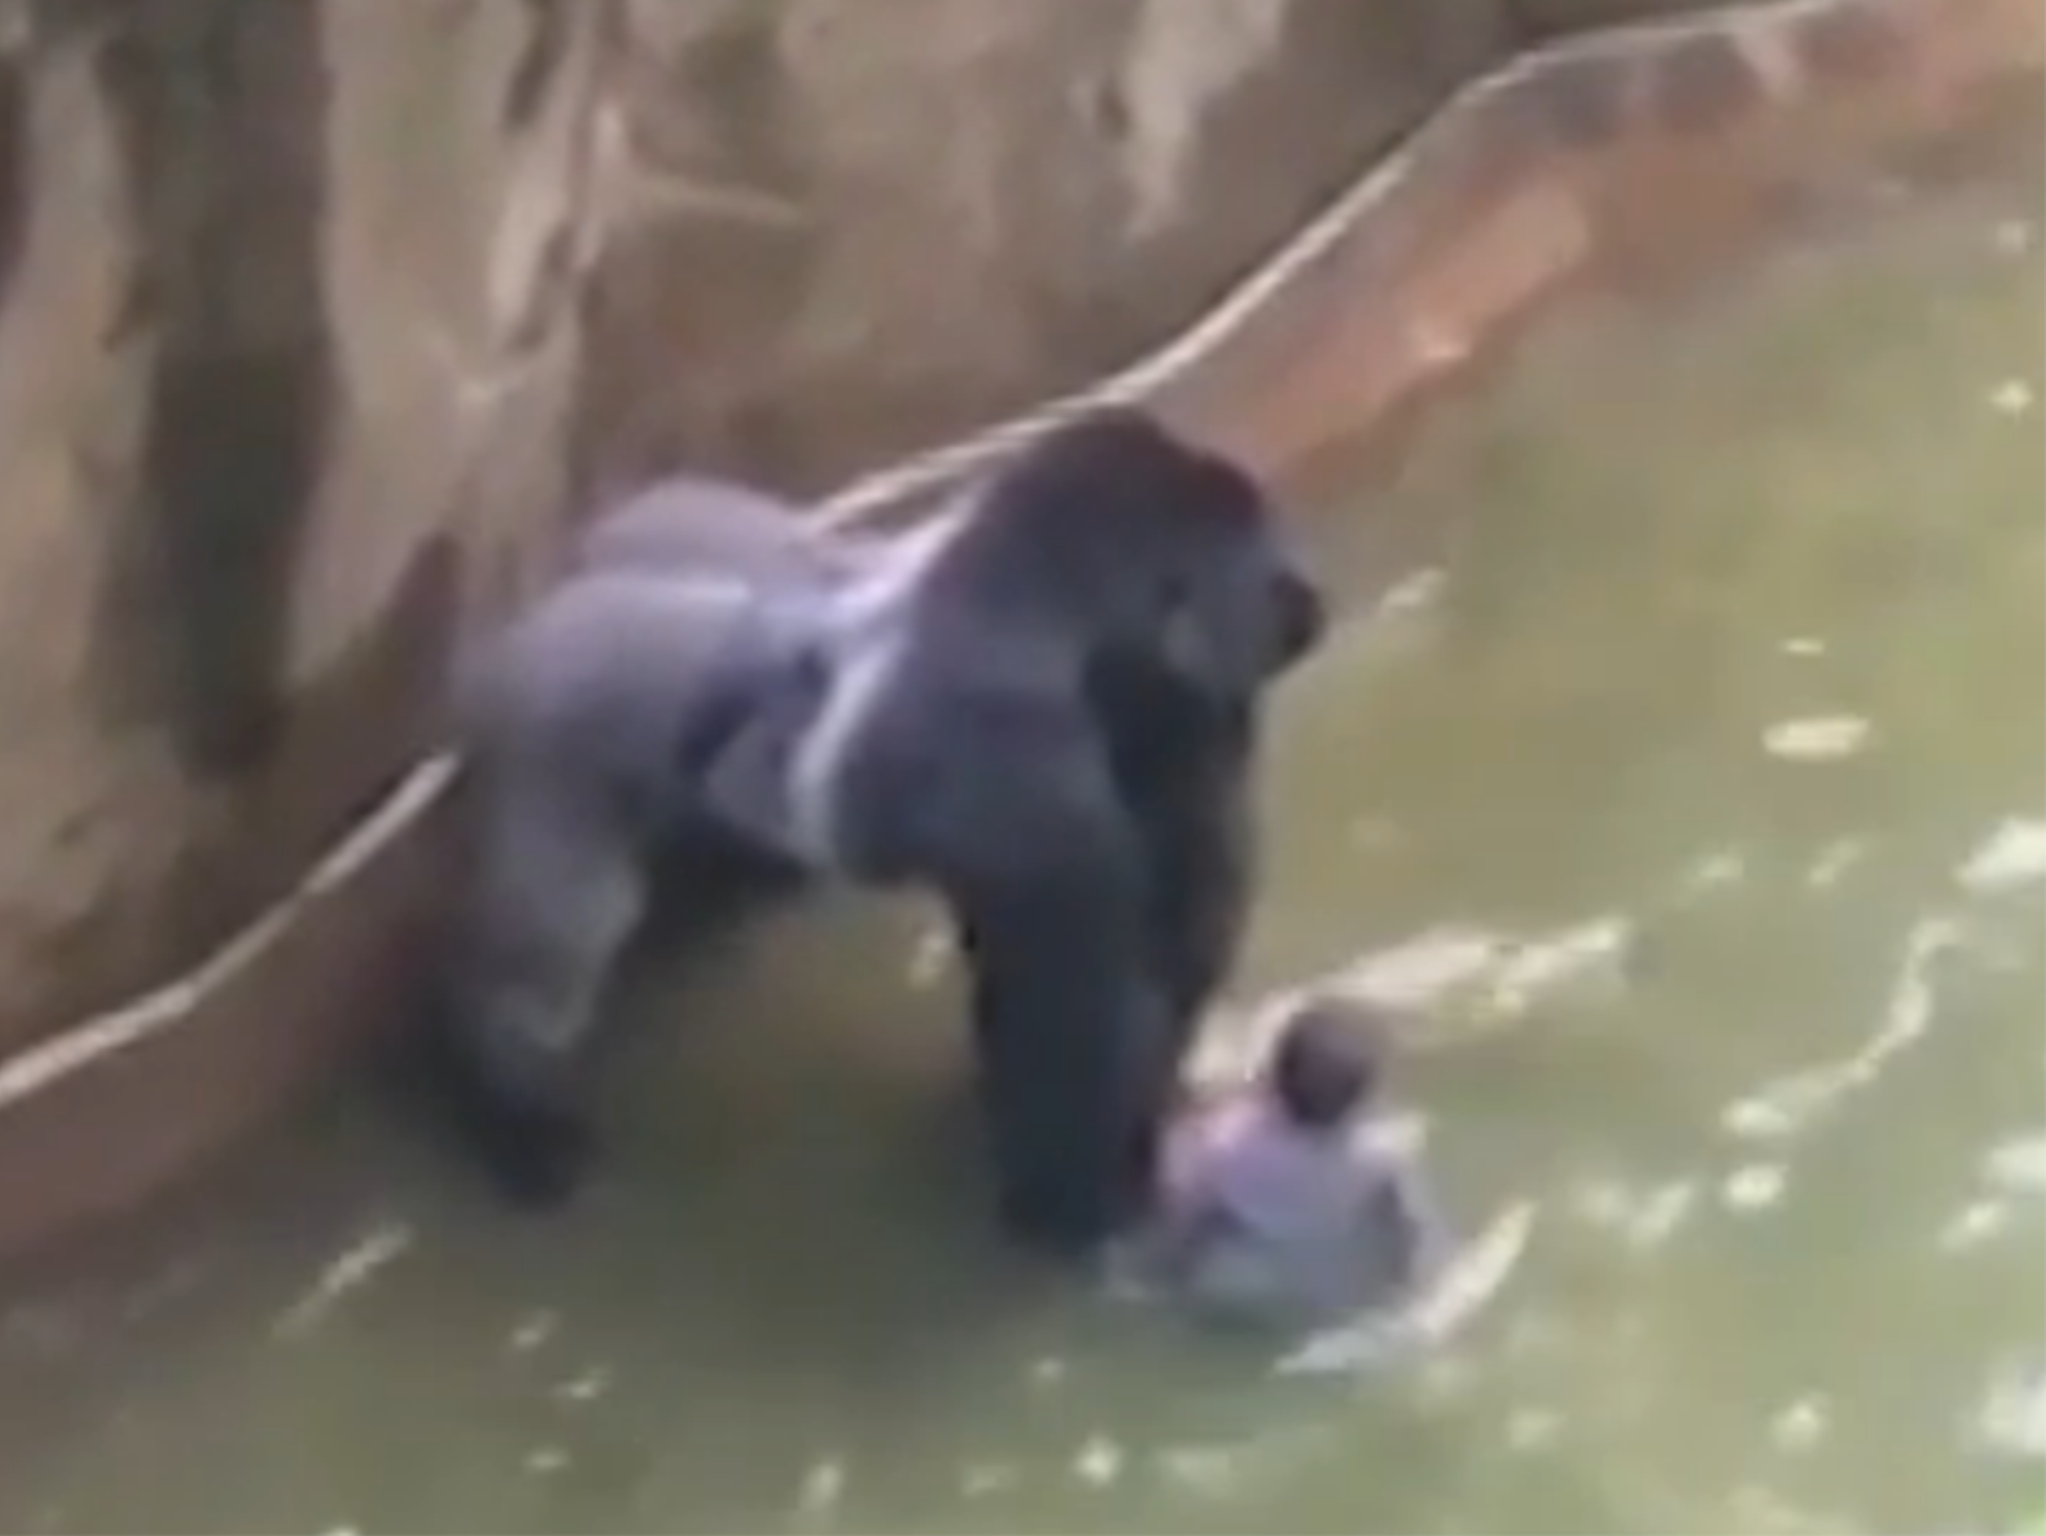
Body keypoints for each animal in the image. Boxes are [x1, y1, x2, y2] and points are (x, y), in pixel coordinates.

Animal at [431, 411, 1325, 1259]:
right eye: (1260, 564)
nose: (1307, 606)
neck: (1042, 603)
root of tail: (537, 606)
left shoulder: (1182, 715)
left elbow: (1172, 934)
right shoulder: (1017, 758)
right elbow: (1071, 1012)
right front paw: (1075, 1207)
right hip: (545, 730)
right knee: (555, 951)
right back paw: (516, 1111)